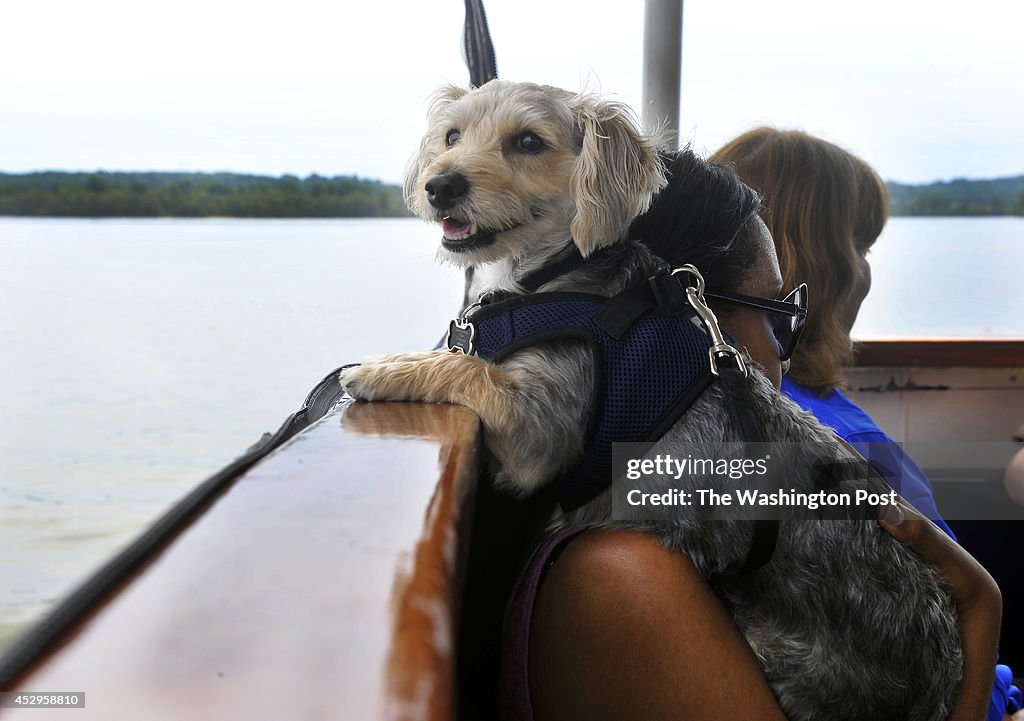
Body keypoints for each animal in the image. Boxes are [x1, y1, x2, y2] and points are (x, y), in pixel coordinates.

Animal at [339, 81, 962, 716]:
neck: (547, 278)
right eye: (452, 136)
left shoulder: (538, 425)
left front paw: (386, 368)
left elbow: (467, 369)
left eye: (529, 142)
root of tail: (938, 679)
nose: (441, 184)